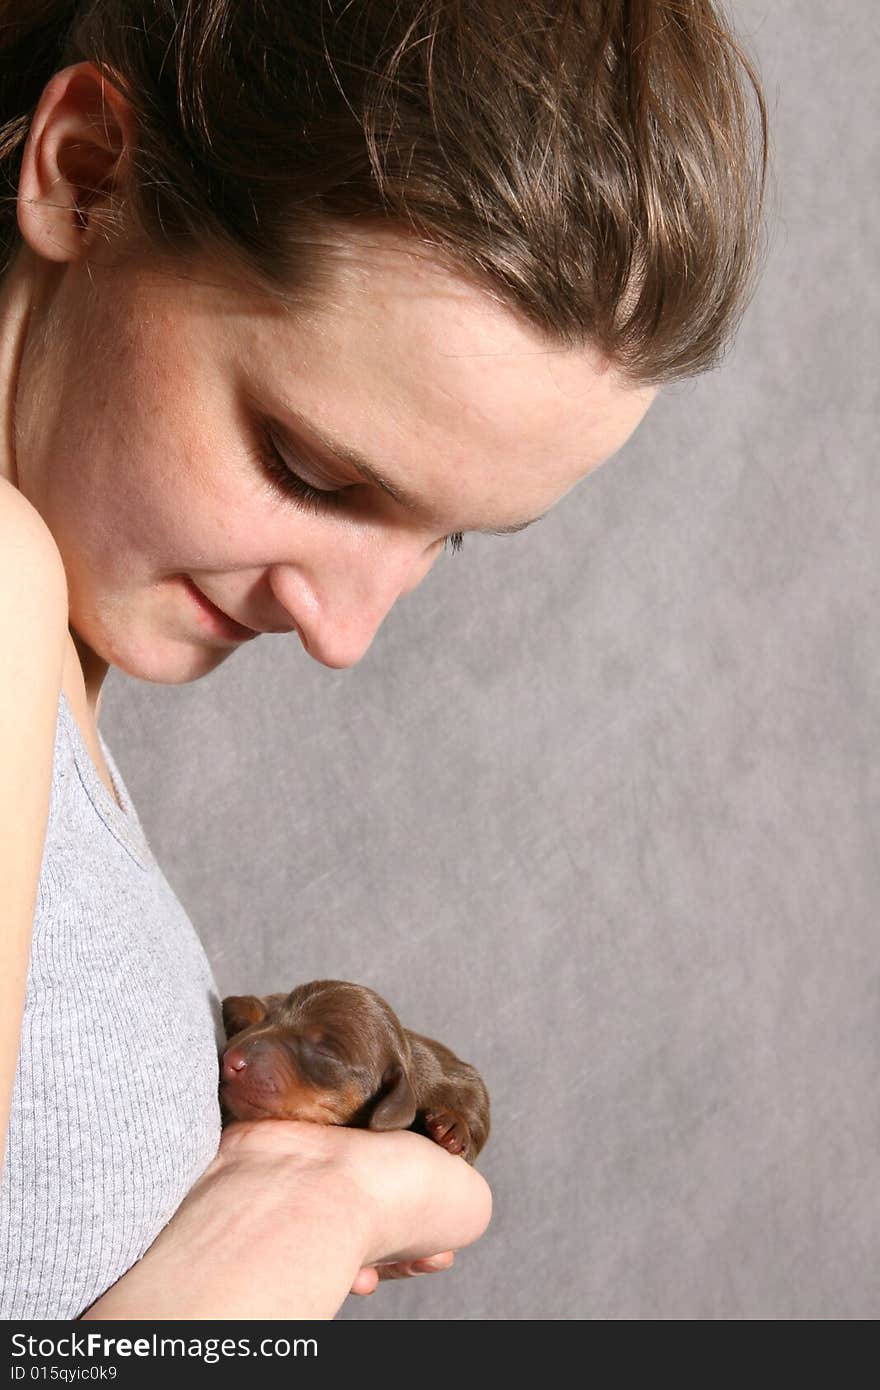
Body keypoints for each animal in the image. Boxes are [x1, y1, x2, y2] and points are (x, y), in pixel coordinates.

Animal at [219, 978, 492, 1162]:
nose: (231, 1061)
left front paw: (454, 1128)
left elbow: (475, 1101)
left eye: (326, 1053)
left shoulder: (447, 1076)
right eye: (271, 1018)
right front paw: (240, 1010)